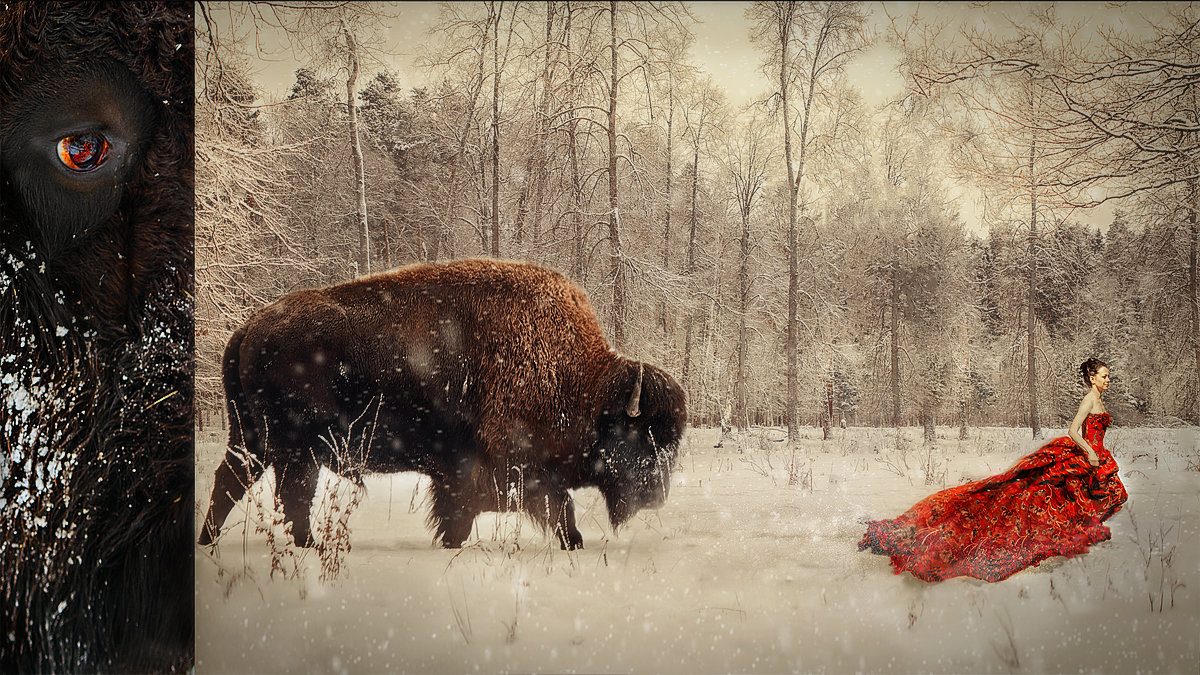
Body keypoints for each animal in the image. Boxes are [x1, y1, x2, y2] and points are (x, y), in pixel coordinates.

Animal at [198, 260, 686, 550]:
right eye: (641, 437)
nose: (657, 496)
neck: (580, 384)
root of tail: (249, 327)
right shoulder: (512, 466)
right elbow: (555, 507)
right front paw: (575, 542)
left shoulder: (465, 474)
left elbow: (466, 513)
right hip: (295, 449)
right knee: (288, 493)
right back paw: (310, 545)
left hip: (254, 438)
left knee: (232, 481)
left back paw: (211, 541)